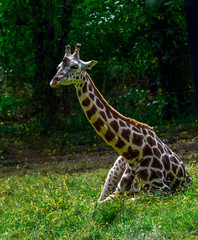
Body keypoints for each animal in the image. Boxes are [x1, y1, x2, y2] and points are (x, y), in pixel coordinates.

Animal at [50, 43, 193, 202]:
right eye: (59, 66)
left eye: (75, 66)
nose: (54, 81)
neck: (134, 153)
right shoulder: (119, 191)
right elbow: (97, 204)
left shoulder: (161, 190)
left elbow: (128, 202)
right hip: (113, 171)